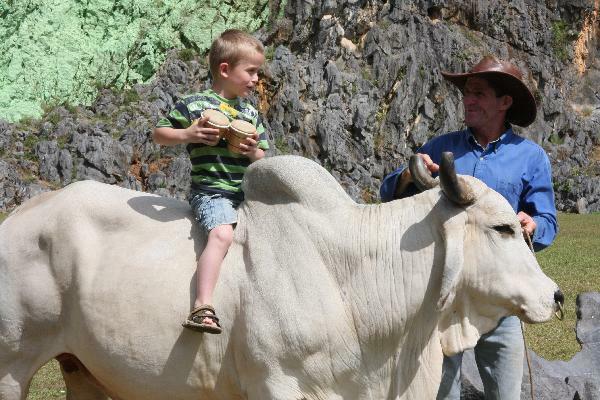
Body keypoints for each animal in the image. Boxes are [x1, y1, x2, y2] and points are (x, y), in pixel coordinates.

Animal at [0, 154, 561, 400]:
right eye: (502, 227)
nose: (555, 296)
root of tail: (18, 217)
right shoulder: (276, 384)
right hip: (12, 364)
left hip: (83, 369)